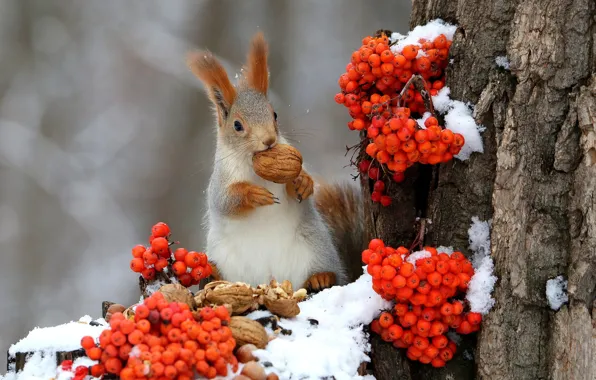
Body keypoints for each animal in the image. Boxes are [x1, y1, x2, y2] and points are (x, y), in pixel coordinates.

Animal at [187, 32, 364, 292]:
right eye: (237, 125)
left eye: (275, 114)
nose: (269, 140)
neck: (254, 163)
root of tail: (270, 279)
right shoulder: (221, 179)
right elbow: (224, 200)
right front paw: (253, 194)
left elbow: (301, 185)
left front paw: (303, 183)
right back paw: (213, 276)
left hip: (315, 248)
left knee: (330, 275)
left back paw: (321, 277)